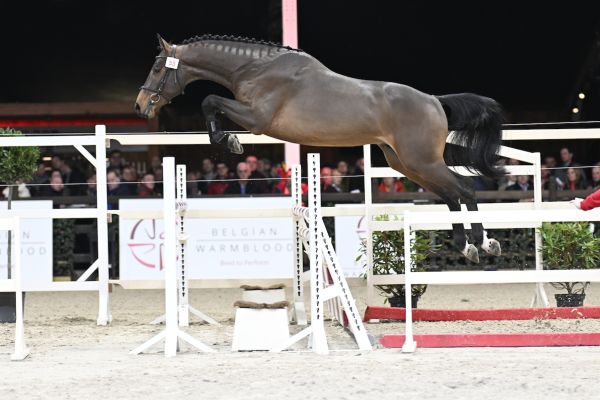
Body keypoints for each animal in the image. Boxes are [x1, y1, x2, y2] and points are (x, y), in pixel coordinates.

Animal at [136, 34, 506, 262]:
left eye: (157, 67)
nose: (141, 106)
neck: (256, 68)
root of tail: (434, 101)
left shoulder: (257, 119)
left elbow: (211, 101)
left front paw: (229, 141)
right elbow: (211, 103)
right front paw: (227, 140)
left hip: (422, 161)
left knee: (463, 189)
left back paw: (483, 243)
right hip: (405, 163)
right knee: (450, 194)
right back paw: (465, 246)